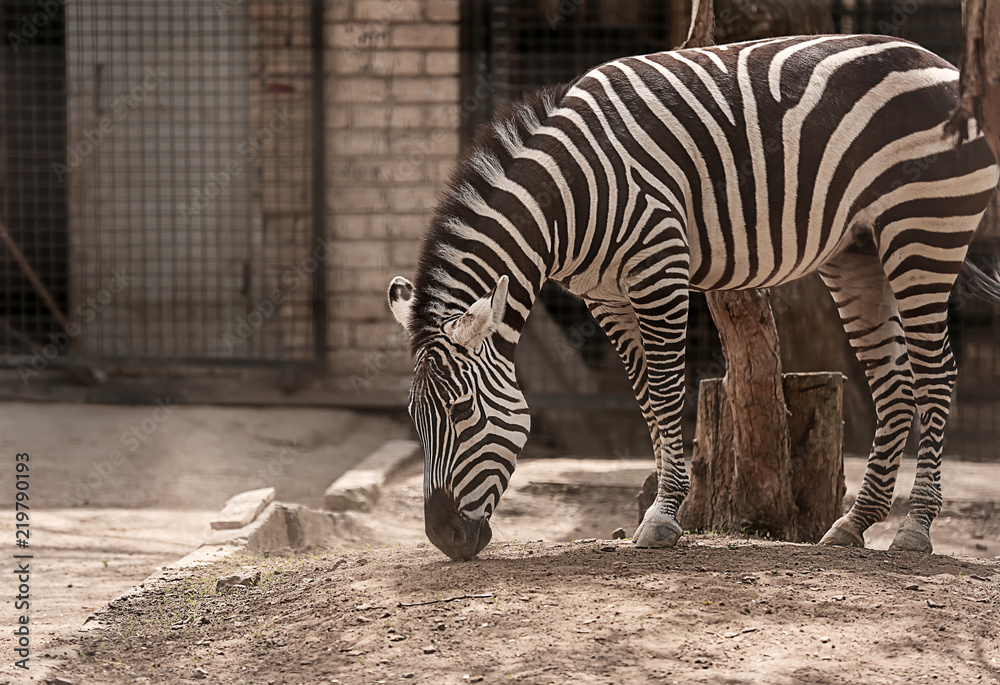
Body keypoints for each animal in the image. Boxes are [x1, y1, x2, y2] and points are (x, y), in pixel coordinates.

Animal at [386, 33, 1000, 560]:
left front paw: (661, 516)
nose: (443, 538)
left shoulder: (659, 267)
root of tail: (945, 67)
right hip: (858, 249)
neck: (568, 197)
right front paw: (663, 509)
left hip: (924, 230)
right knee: (894, 382)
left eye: (462, 411)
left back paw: (915, 530)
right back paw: (854, 524)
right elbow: (644, 399)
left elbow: (663, 392)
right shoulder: (605, 297)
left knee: (935, 373)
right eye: (414, 417)